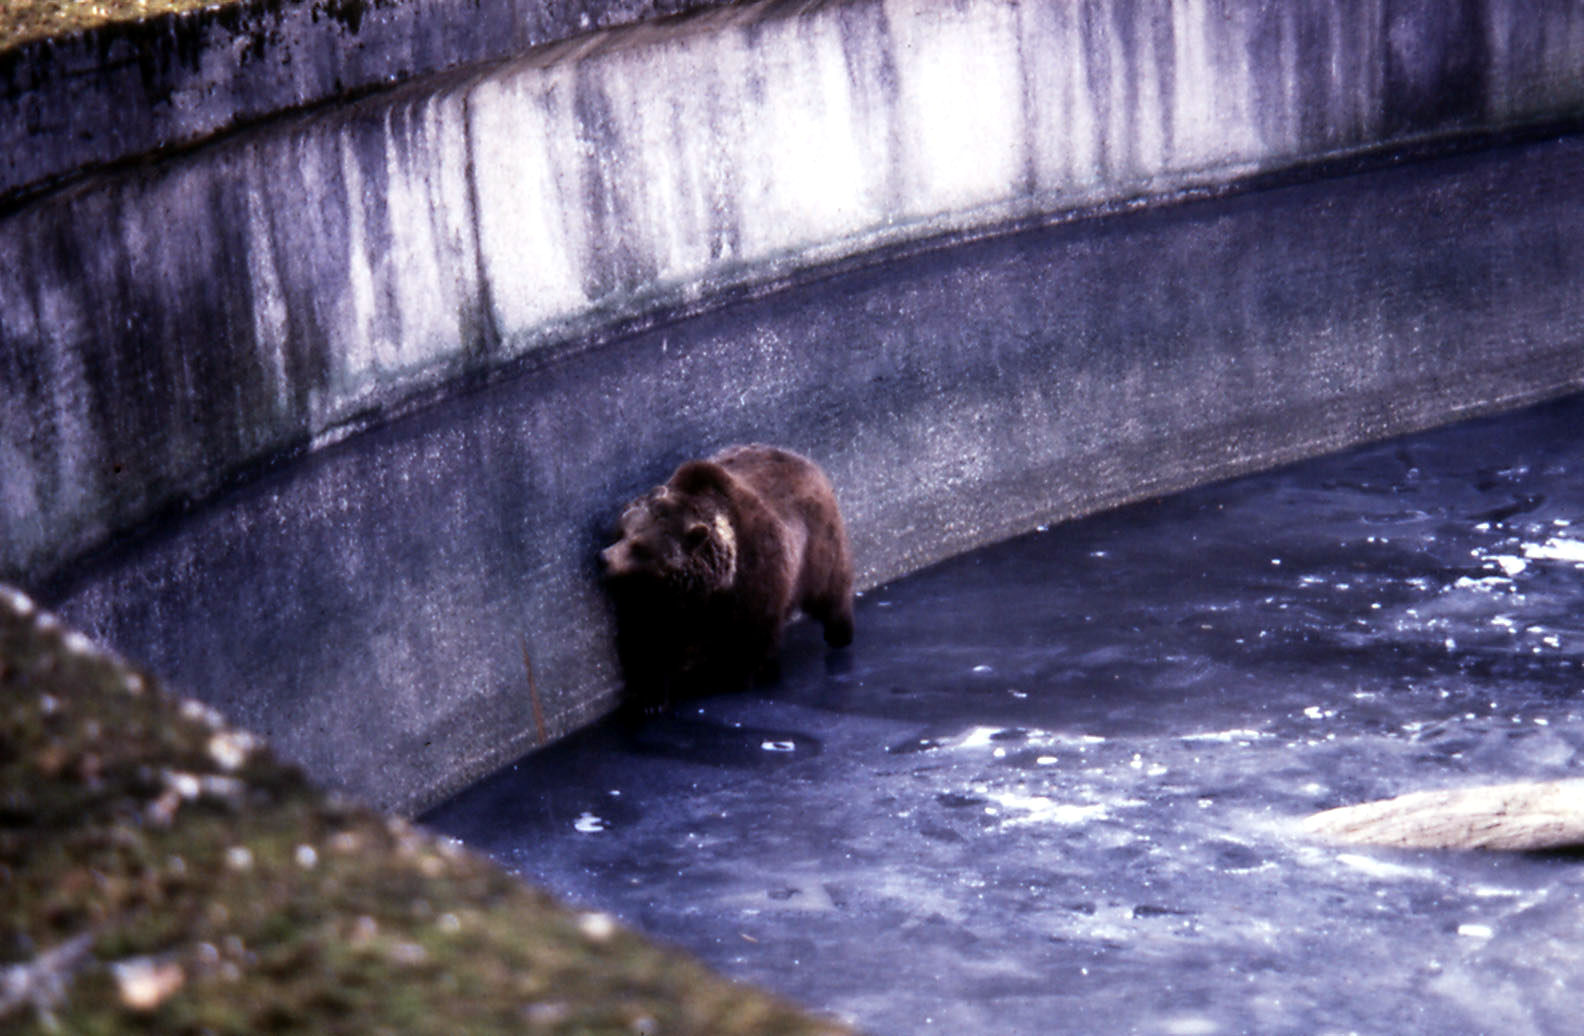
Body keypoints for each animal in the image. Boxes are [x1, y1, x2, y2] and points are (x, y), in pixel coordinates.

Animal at [599, 444, 855, 712]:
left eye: (639, 548)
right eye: (624, 531)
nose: (603, 558)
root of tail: (802, 459)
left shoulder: (757, 576)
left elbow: (750, 635)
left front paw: (728, 676)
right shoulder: (657, 598)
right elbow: (647, 638)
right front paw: (651, 695)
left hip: (817, 543)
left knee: (831, 586)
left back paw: (840, 631)